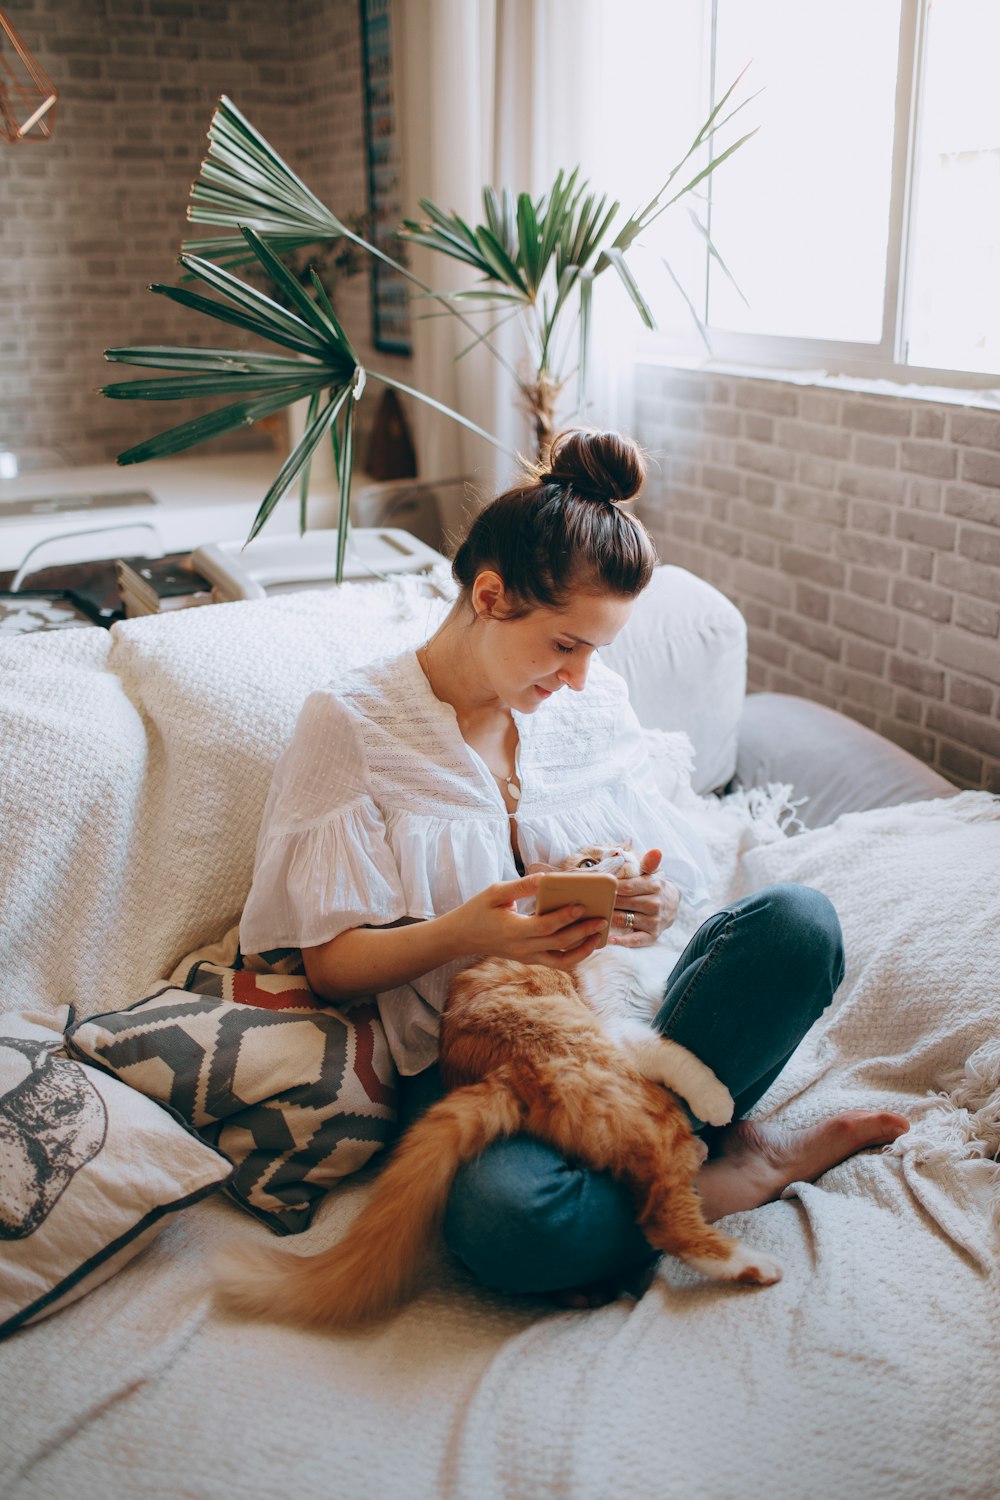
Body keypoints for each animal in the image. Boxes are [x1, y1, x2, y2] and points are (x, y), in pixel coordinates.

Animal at [217, 852, 779, 1332]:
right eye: (588, 862)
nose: (621, 855)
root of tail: (507, 1068)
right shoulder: (617, 1020)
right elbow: (676, 1054)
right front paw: (716, 1098)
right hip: (630, 1096)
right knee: (665, 1219)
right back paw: (749, 1257)